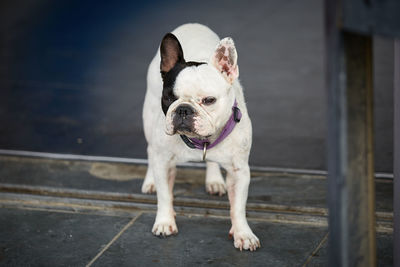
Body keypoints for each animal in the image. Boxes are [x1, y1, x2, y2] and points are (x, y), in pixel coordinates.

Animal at [141, 24, 260, 252]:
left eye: (209, 100)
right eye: (168, 97)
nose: (183, 109)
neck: (201, 141)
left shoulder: (239, 171)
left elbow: (238, 207)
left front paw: (243, 234)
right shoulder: (164, 163)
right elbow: (165, 195)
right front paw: (165, 222)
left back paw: (214, 180)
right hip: (149, 121)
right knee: (150, 150)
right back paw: (150, 181)